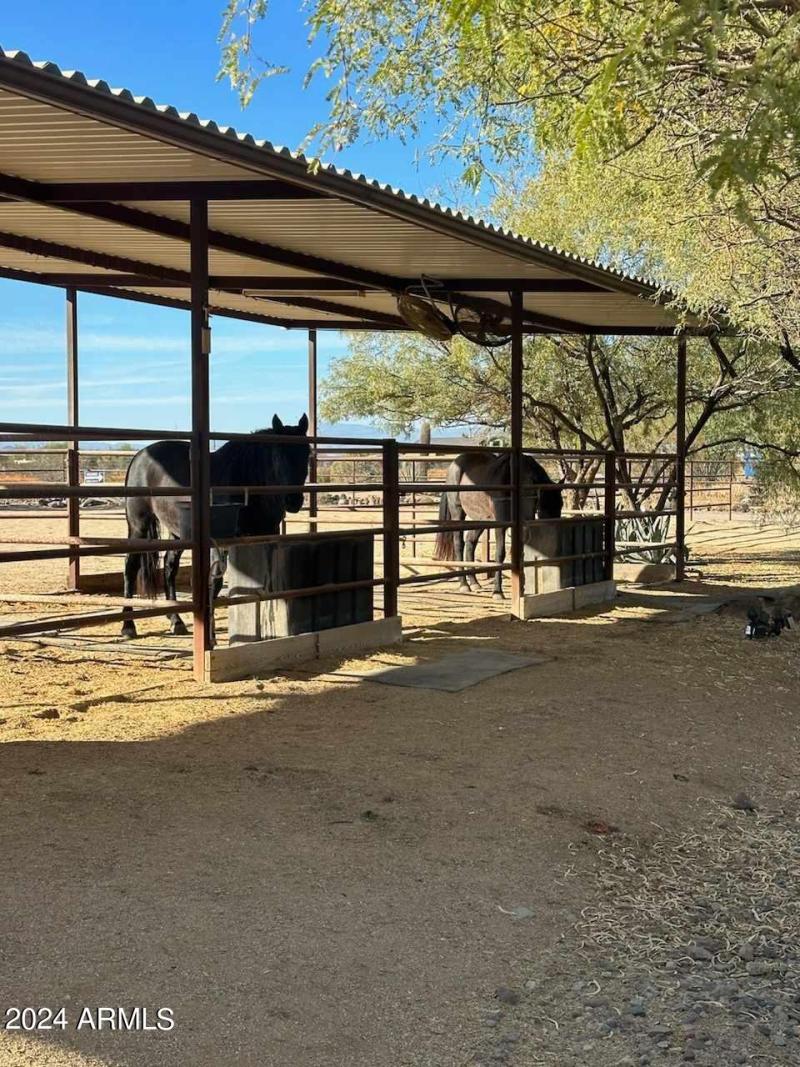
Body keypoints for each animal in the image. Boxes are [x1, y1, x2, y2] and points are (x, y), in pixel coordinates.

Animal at [121, 413, 310, 638]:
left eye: (307, 454)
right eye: (278, 456)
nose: (293, 501)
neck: (244, 480)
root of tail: (139, 456)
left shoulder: (266, 535)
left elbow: (267, 577)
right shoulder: (219, 542)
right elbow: (215, 582)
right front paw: (210, 633)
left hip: (180, 532)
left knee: (169, 566)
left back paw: (176, 620)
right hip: (138, 526)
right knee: (130, 567)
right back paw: (128, 626)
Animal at [432, 450, 562, 598]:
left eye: (560, 504)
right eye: (547, 503)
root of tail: (454, 465)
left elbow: (520, 553)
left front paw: (521, 588)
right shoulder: (501, 525)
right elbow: (500, 554)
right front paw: (497, 591)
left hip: (481, 519)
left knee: (470, 542)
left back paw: (474, 582)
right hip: (458, 514)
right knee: (459, 544)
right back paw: (464, 584)